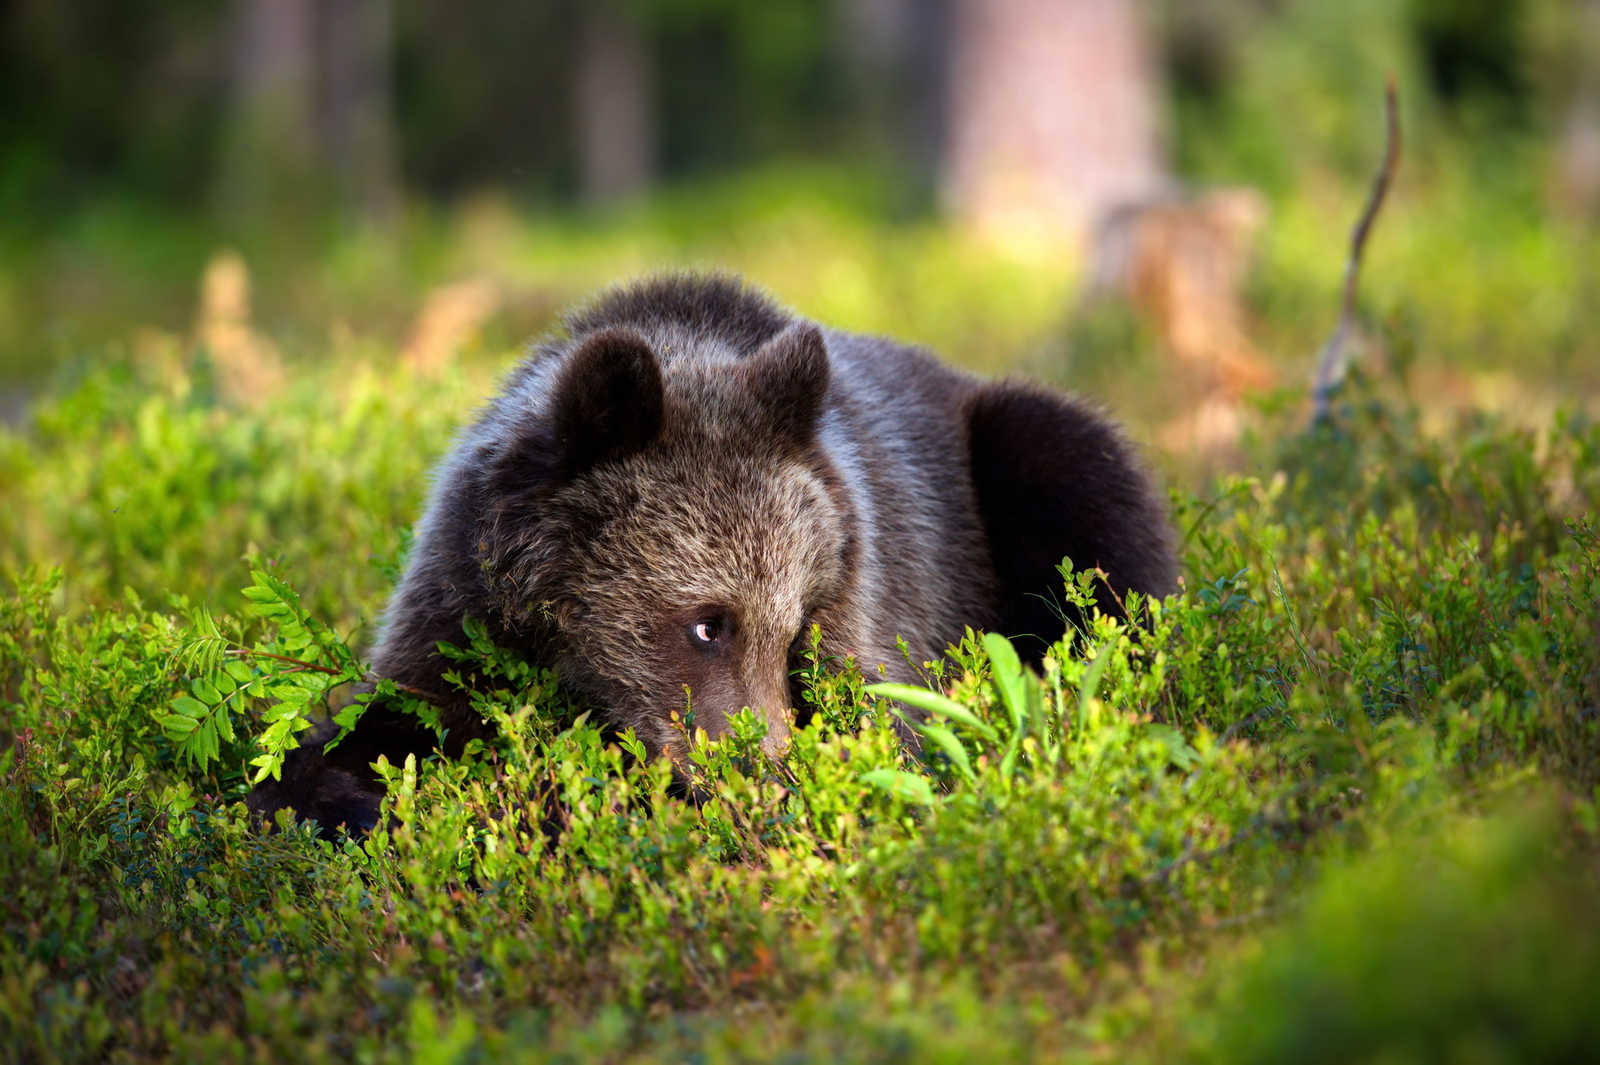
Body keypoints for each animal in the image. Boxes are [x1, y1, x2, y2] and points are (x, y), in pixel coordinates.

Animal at [249, 271, 1177, 831]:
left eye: (793, 627)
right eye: (708, 622)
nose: (761, 774)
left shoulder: (873, 592)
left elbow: (889, 732)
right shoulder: (460, 604)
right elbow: (377, 726)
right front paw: (332, 790)